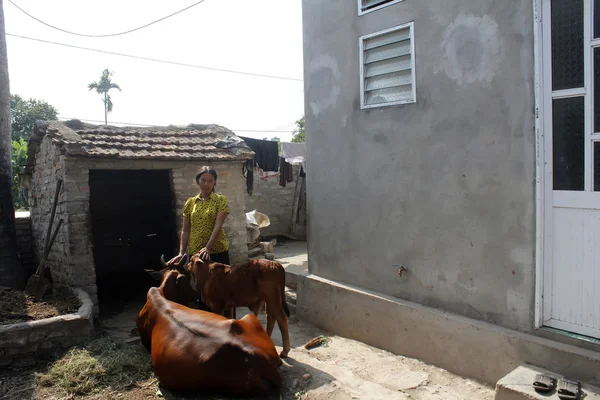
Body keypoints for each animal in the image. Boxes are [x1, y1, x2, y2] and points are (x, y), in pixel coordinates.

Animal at [158, 255, 292, 358]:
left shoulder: (217, 307)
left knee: (281, 318)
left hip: (272, 298)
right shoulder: (228, 307)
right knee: (271, 317)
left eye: (191, 260)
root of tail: (275, 264)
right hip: (267, 300)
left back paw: (285, 351)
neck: (206, 275)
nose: (187, 266)